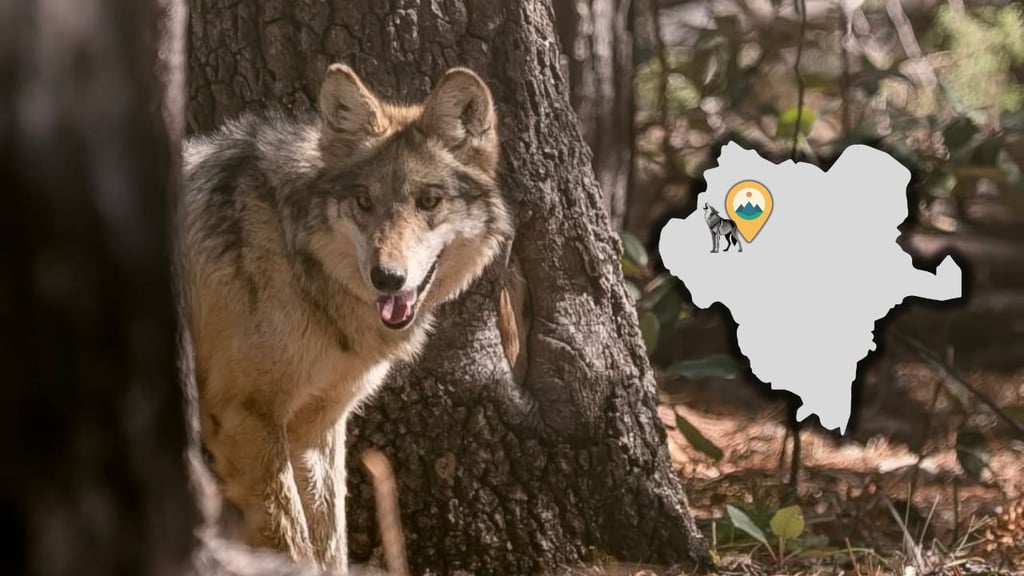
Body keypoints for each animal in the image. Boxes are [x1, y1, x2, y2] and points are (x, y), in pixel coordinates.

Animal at [179, 63, 513, 572]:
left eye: (429, 201)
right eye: (364, 202)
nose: (387, 278)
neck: (292, 250)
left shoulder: (317, 428)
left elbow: (329, 543)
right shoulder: (246, 416)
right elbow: (292, 543)